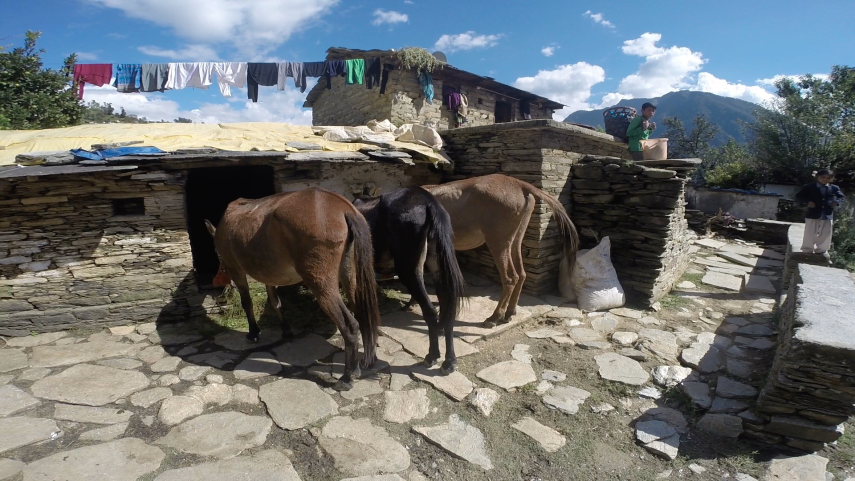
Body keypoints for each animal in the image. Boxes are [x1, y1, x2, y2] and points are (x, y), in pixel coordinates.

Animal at [204, 188, 378, 390]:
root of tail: (343, 207)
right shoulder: (269, 275)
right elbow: (275, 302)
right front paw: (285, 330)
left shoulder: (237, 270)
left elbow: (247, 302)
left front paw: (254, 332)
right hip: (350, 278)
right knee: (361, 317)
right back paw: (356, 368)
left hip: (323, 286)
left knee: (350, 325)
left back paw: (347, 377)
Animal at [354, 186, 464, 374]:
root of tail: (429, 202)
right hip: (438, 268)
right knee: (447, 310)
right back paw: (450, 362)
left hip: (409, 270)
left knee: (430, 311)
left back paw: (432, 356)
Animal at [428, 172, 580, 326]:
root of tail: (518, 183)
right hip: (515, 239)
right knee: (522, 274)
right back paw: (510, 312)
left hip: (497, 241)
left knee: (510, 278)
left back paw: (495, 317)